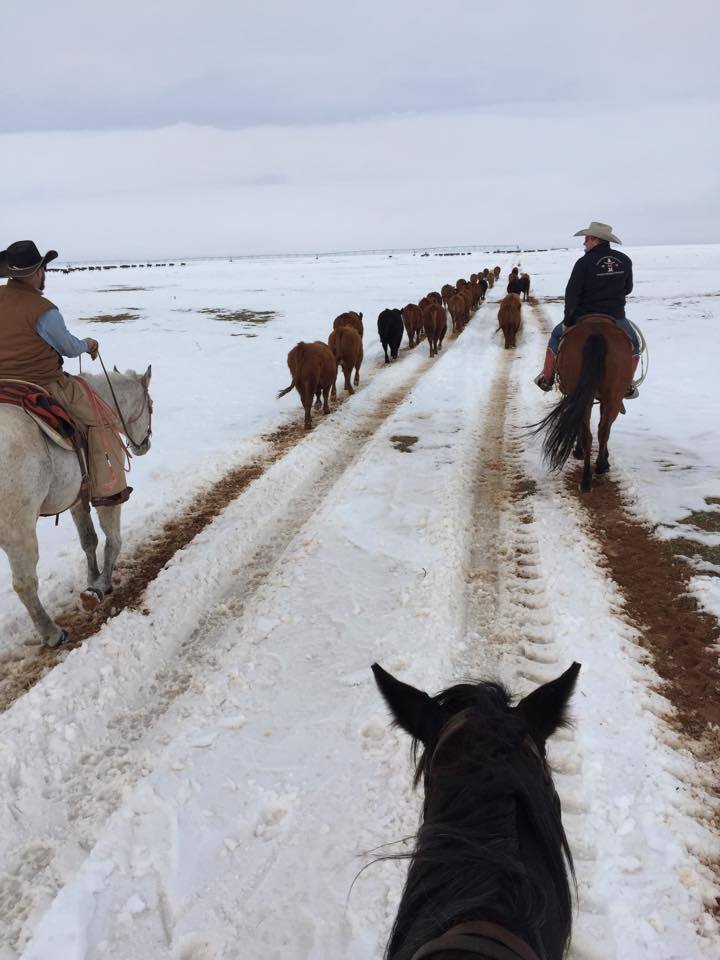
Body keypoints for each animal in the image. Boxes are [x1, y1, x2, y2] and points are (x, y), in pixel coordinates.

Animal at [0, 368, 152, 644]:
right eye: (151, 406)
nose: (144, 445)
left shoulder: (77, 498)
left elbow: (89, 540)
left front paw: (93, 577)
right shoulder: (109, 489)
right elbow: (113, 539)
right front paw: (101, 585)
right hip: (18, 529)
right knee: (25, 583)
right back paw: (51, 632)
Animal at [532, 316, 632, 492]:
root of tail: (597, 333)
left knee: (593, 432)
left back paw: (588, 476)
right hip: (612, 396)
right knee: (602, 430)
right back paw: (597, 469)